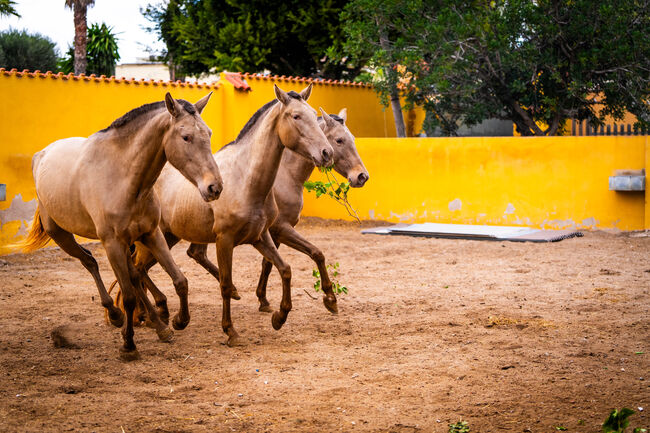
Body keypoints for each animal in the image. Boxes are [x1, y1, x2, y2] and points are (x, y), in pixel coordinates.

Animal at [20, 91, 223, 358]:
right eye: (186, 137)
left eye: (209, 133)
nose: (214, 187)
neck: (123, 178)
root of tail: (41, 154)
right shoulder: (113, 243)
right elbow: (127, 296)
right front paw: (128, 344)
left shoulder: (151, 234)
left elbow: (180, 280)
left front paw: (179, 321)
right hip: (63, 235)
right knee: (90, 262)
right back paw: (116, 314)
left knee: (134, 274)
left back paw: (158, 325)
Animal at [126, 84, 334, 346]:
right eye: (296, 116)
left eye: (313, 115)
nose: (327, 153)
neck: (246, 179)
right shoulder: (224, 240)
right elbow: (225, 285)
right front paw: (231, 331)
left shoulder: (260, 237)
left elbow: (285, 269)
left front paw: (280, 316)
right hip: (152, 238)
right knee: (137, 269)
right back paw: (159, 318)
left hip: (166, 238)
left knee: (140, 269)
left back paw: (156, 316)